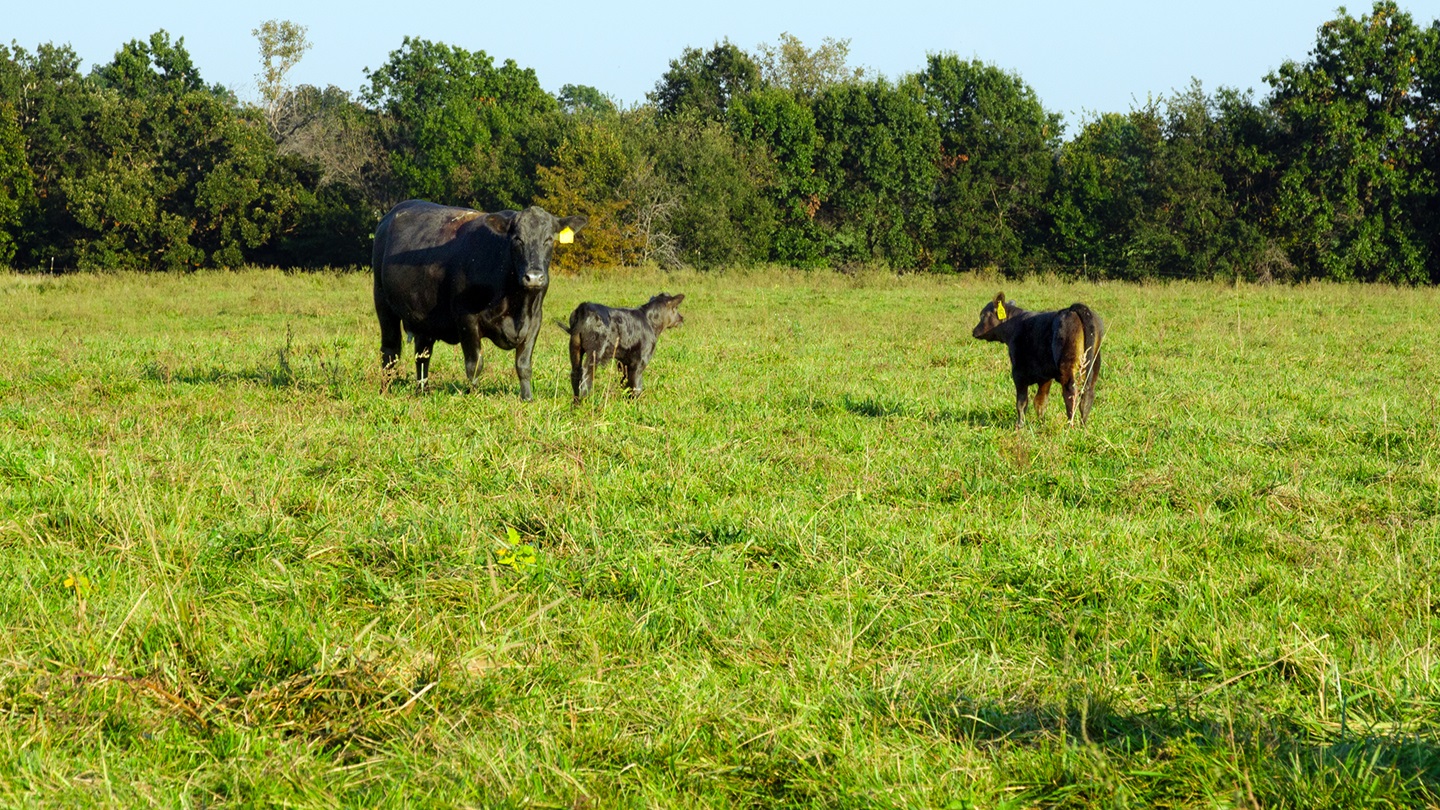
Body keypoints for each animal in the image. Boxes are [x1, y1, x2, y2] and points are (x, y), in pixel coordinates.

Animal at [372, 200, 586, 400]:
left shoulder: (534, 320)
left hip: (424, 317)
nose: (534, 277)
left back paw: (422, 391)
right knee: (390, 351)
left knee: (422, 355)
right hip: (383, 304)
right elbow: (474, 364)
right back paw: (386, 390)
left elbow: (523, 364)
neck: (516, 303)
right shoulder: (467, 318)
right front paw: (473, 396)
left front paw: (527, 398)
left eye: (549, 239)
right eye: (517, 239)